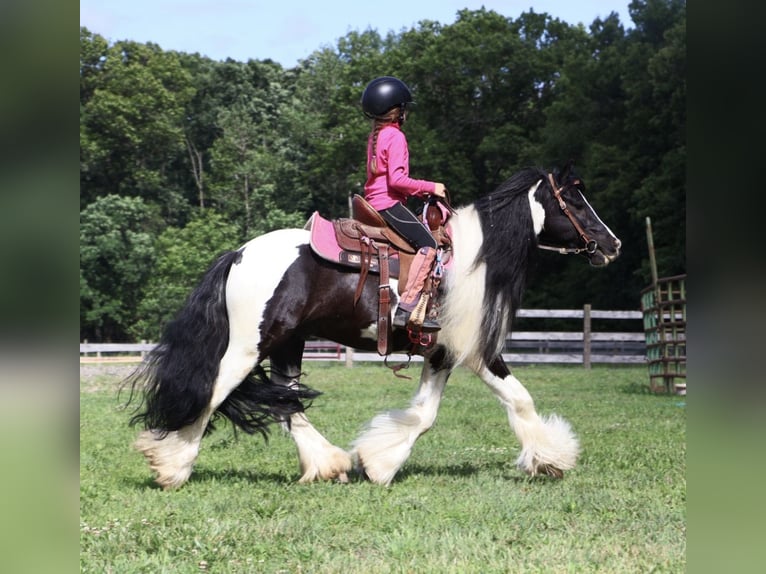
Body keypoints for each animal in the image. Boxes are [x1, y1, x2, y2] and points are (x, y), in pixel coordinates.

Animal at [125, 163, 621, 490]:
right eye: (574, 201)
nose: (612, 243)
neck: (474, 259)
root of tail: (240, 254)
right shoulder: (476, 351)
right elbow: (519, 399)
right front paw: (551, 460)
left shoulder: (440, 353)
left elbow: (424, 414)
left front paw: (378, 461)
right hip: (251, 345)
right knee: (215, 391)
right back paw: (172, 465)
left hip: (287, 343)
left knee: (288, 401)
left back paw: (328, 465)